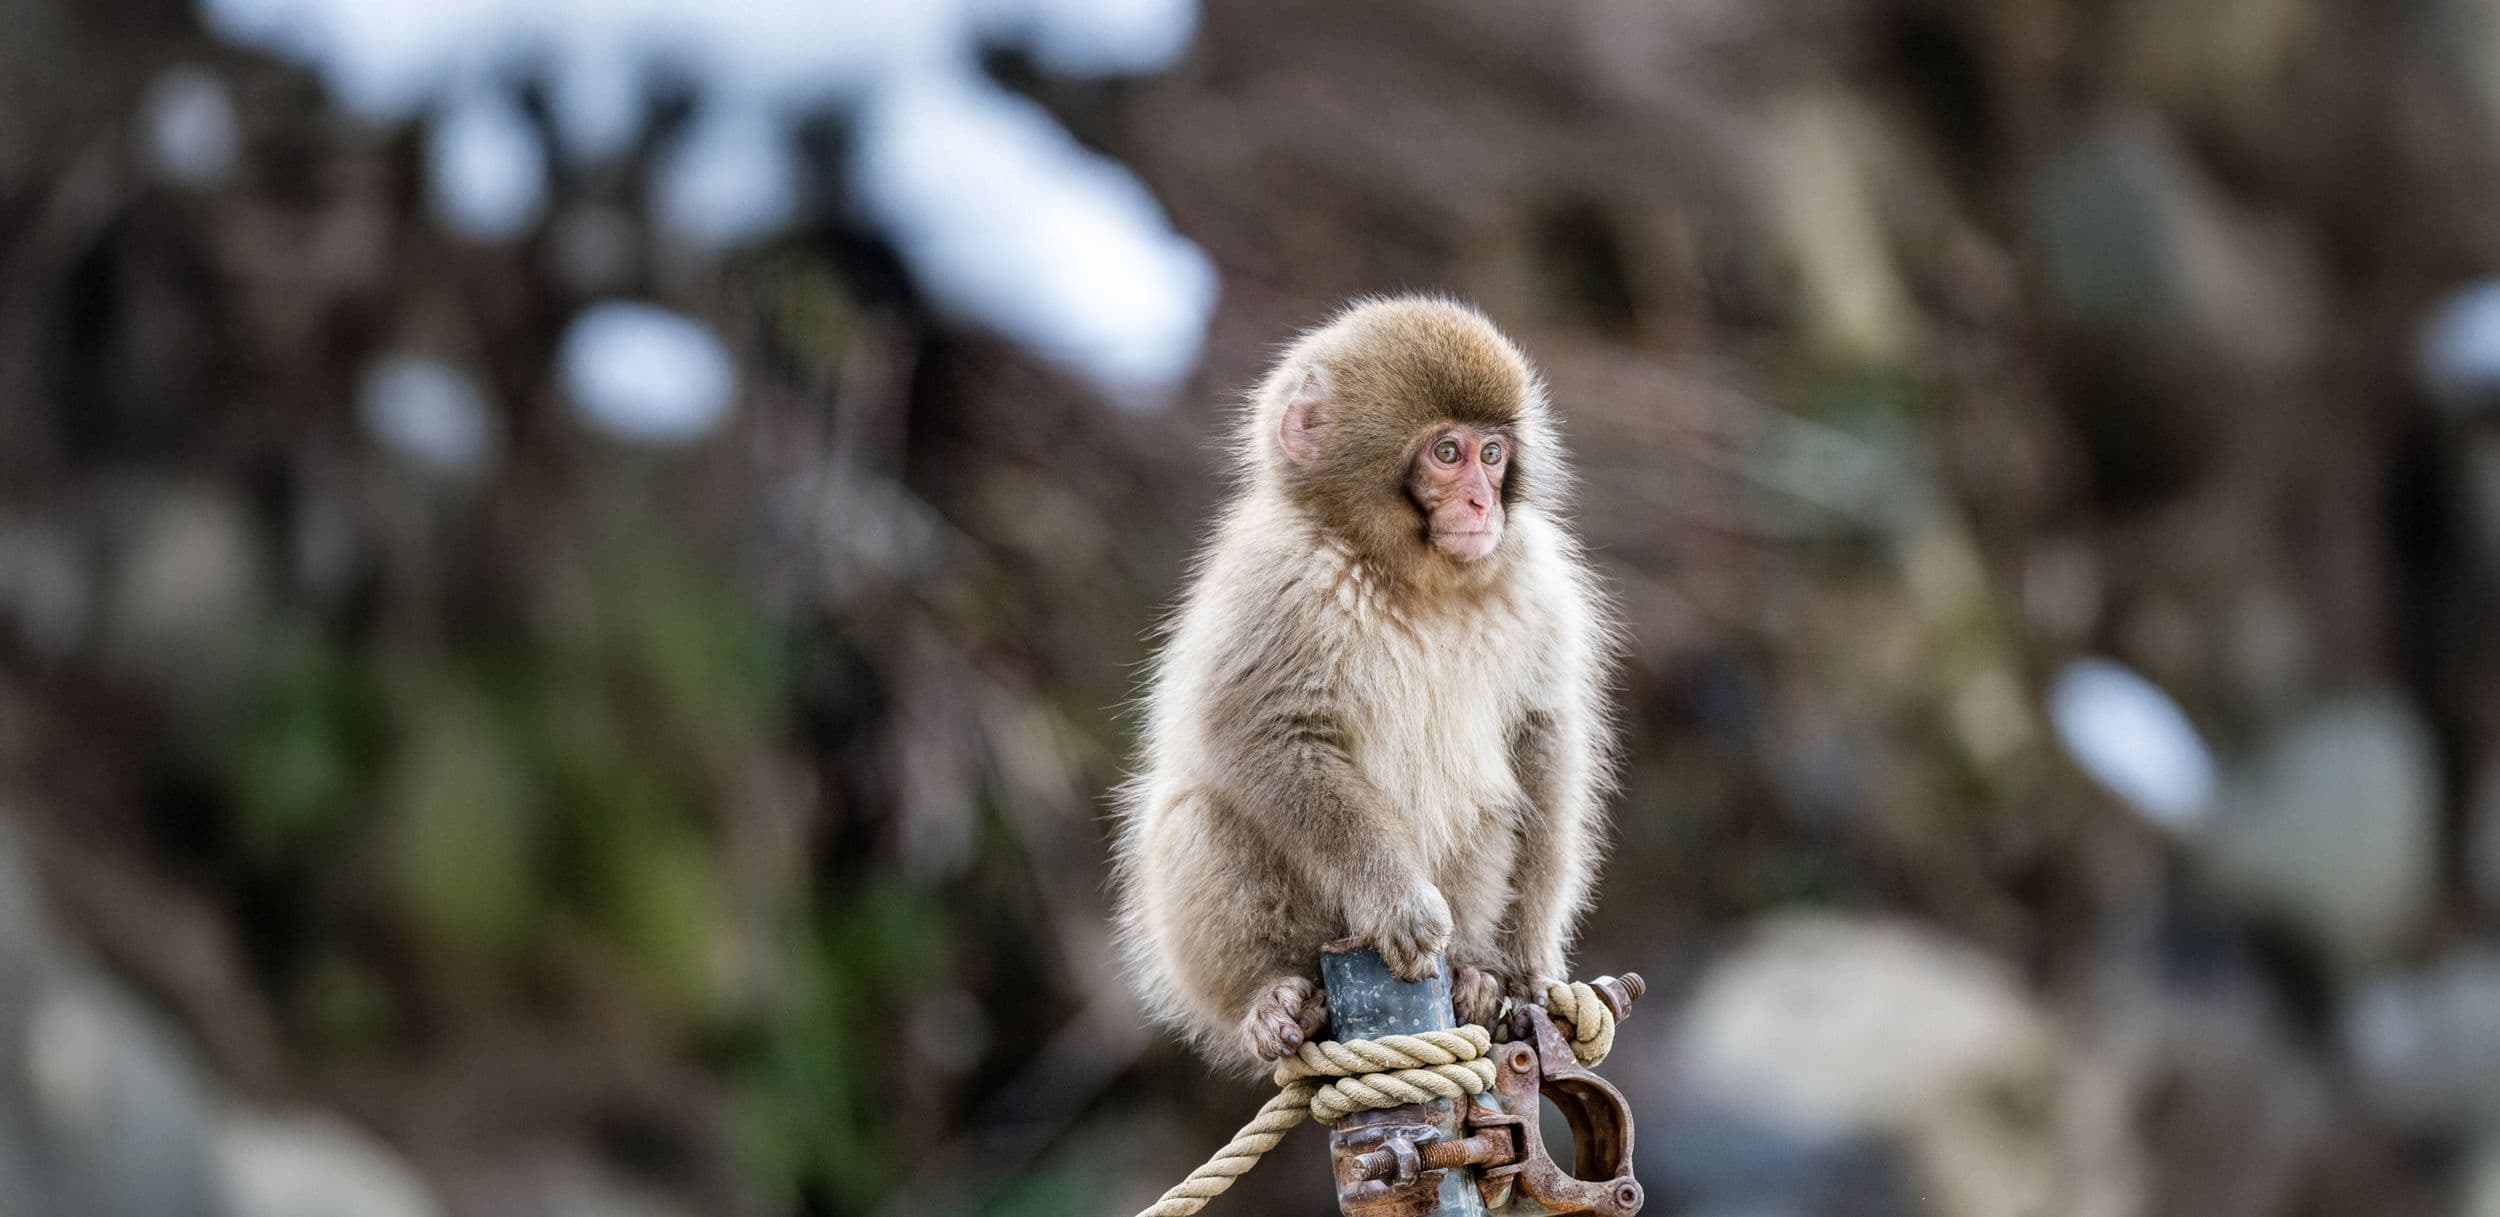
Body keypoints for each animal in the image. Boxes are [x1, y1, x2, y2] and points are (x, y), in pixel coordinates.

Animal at [1110, 295, 1618, 1076]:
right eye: (1447, 454)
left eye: (1492, 454)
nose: (1483, 504)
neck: (1413, 575)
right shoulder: (1279, 575)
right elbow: (1266, 734)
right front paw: (1397, 900)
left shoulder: (1538, 579)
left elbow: (1542, 739)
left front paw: (1527, 961)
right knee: (1199, 818)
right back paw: (1272, 1000)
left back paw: (1475, 975)